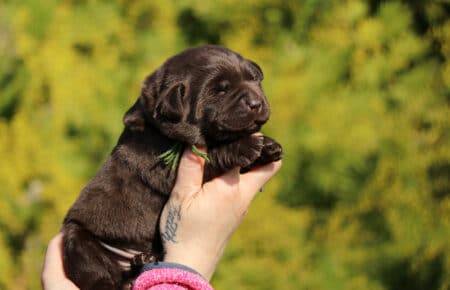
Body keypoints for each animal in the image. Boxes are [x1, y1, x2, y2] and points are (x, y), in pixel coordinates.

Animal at [62, 45, 284, 290]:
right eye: (220, 91)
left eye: (254, 80)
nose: (256, 103)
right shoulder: (163, 165)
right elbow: (211, 154)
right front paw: (245, 146)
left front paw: (269, 146)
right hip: (77, 239)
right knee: (96, 273)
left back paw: (142, 261)